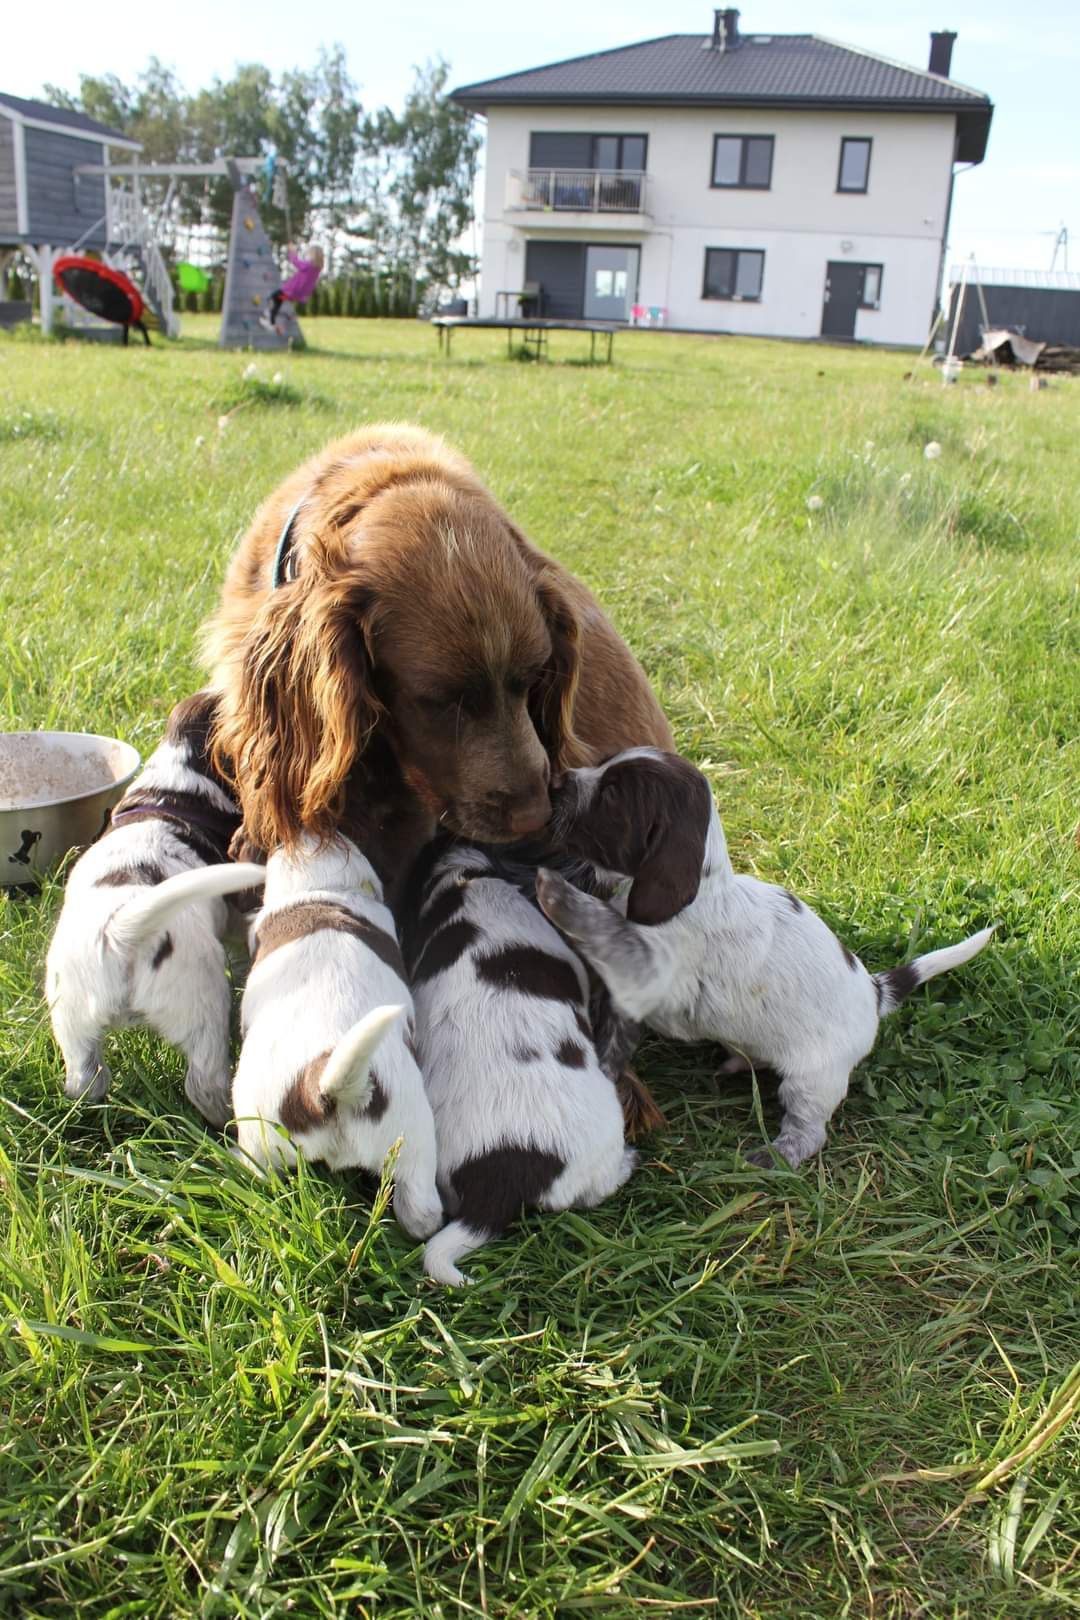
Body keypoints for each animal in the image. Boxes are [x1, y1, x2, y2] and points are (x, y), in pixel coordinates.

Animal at [45, 690, 265, 1121]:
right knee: (204, 1083)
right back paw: (224, 1121)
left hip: (72, 1021)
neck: (175, 785)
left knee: (84, 1081)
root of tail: (120, 932)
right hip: (202, 1007)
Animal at [233, 835, 443, 1237]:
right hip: (415, 1149)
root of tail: (325, 1083)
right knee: (422, 1215)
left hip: (260, 1134)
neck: (326, 890)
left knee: (260, 1172)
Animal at [537, 751, 997, 1172]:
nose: (556, 781)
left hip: (812, 1079)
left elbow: (606, 928)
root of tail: (874, 991)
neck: (701, 894)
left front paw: (556, 891)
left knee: (809, 1131)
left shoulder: (650, 969)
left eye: (613, 795)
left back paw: (776, 1154)